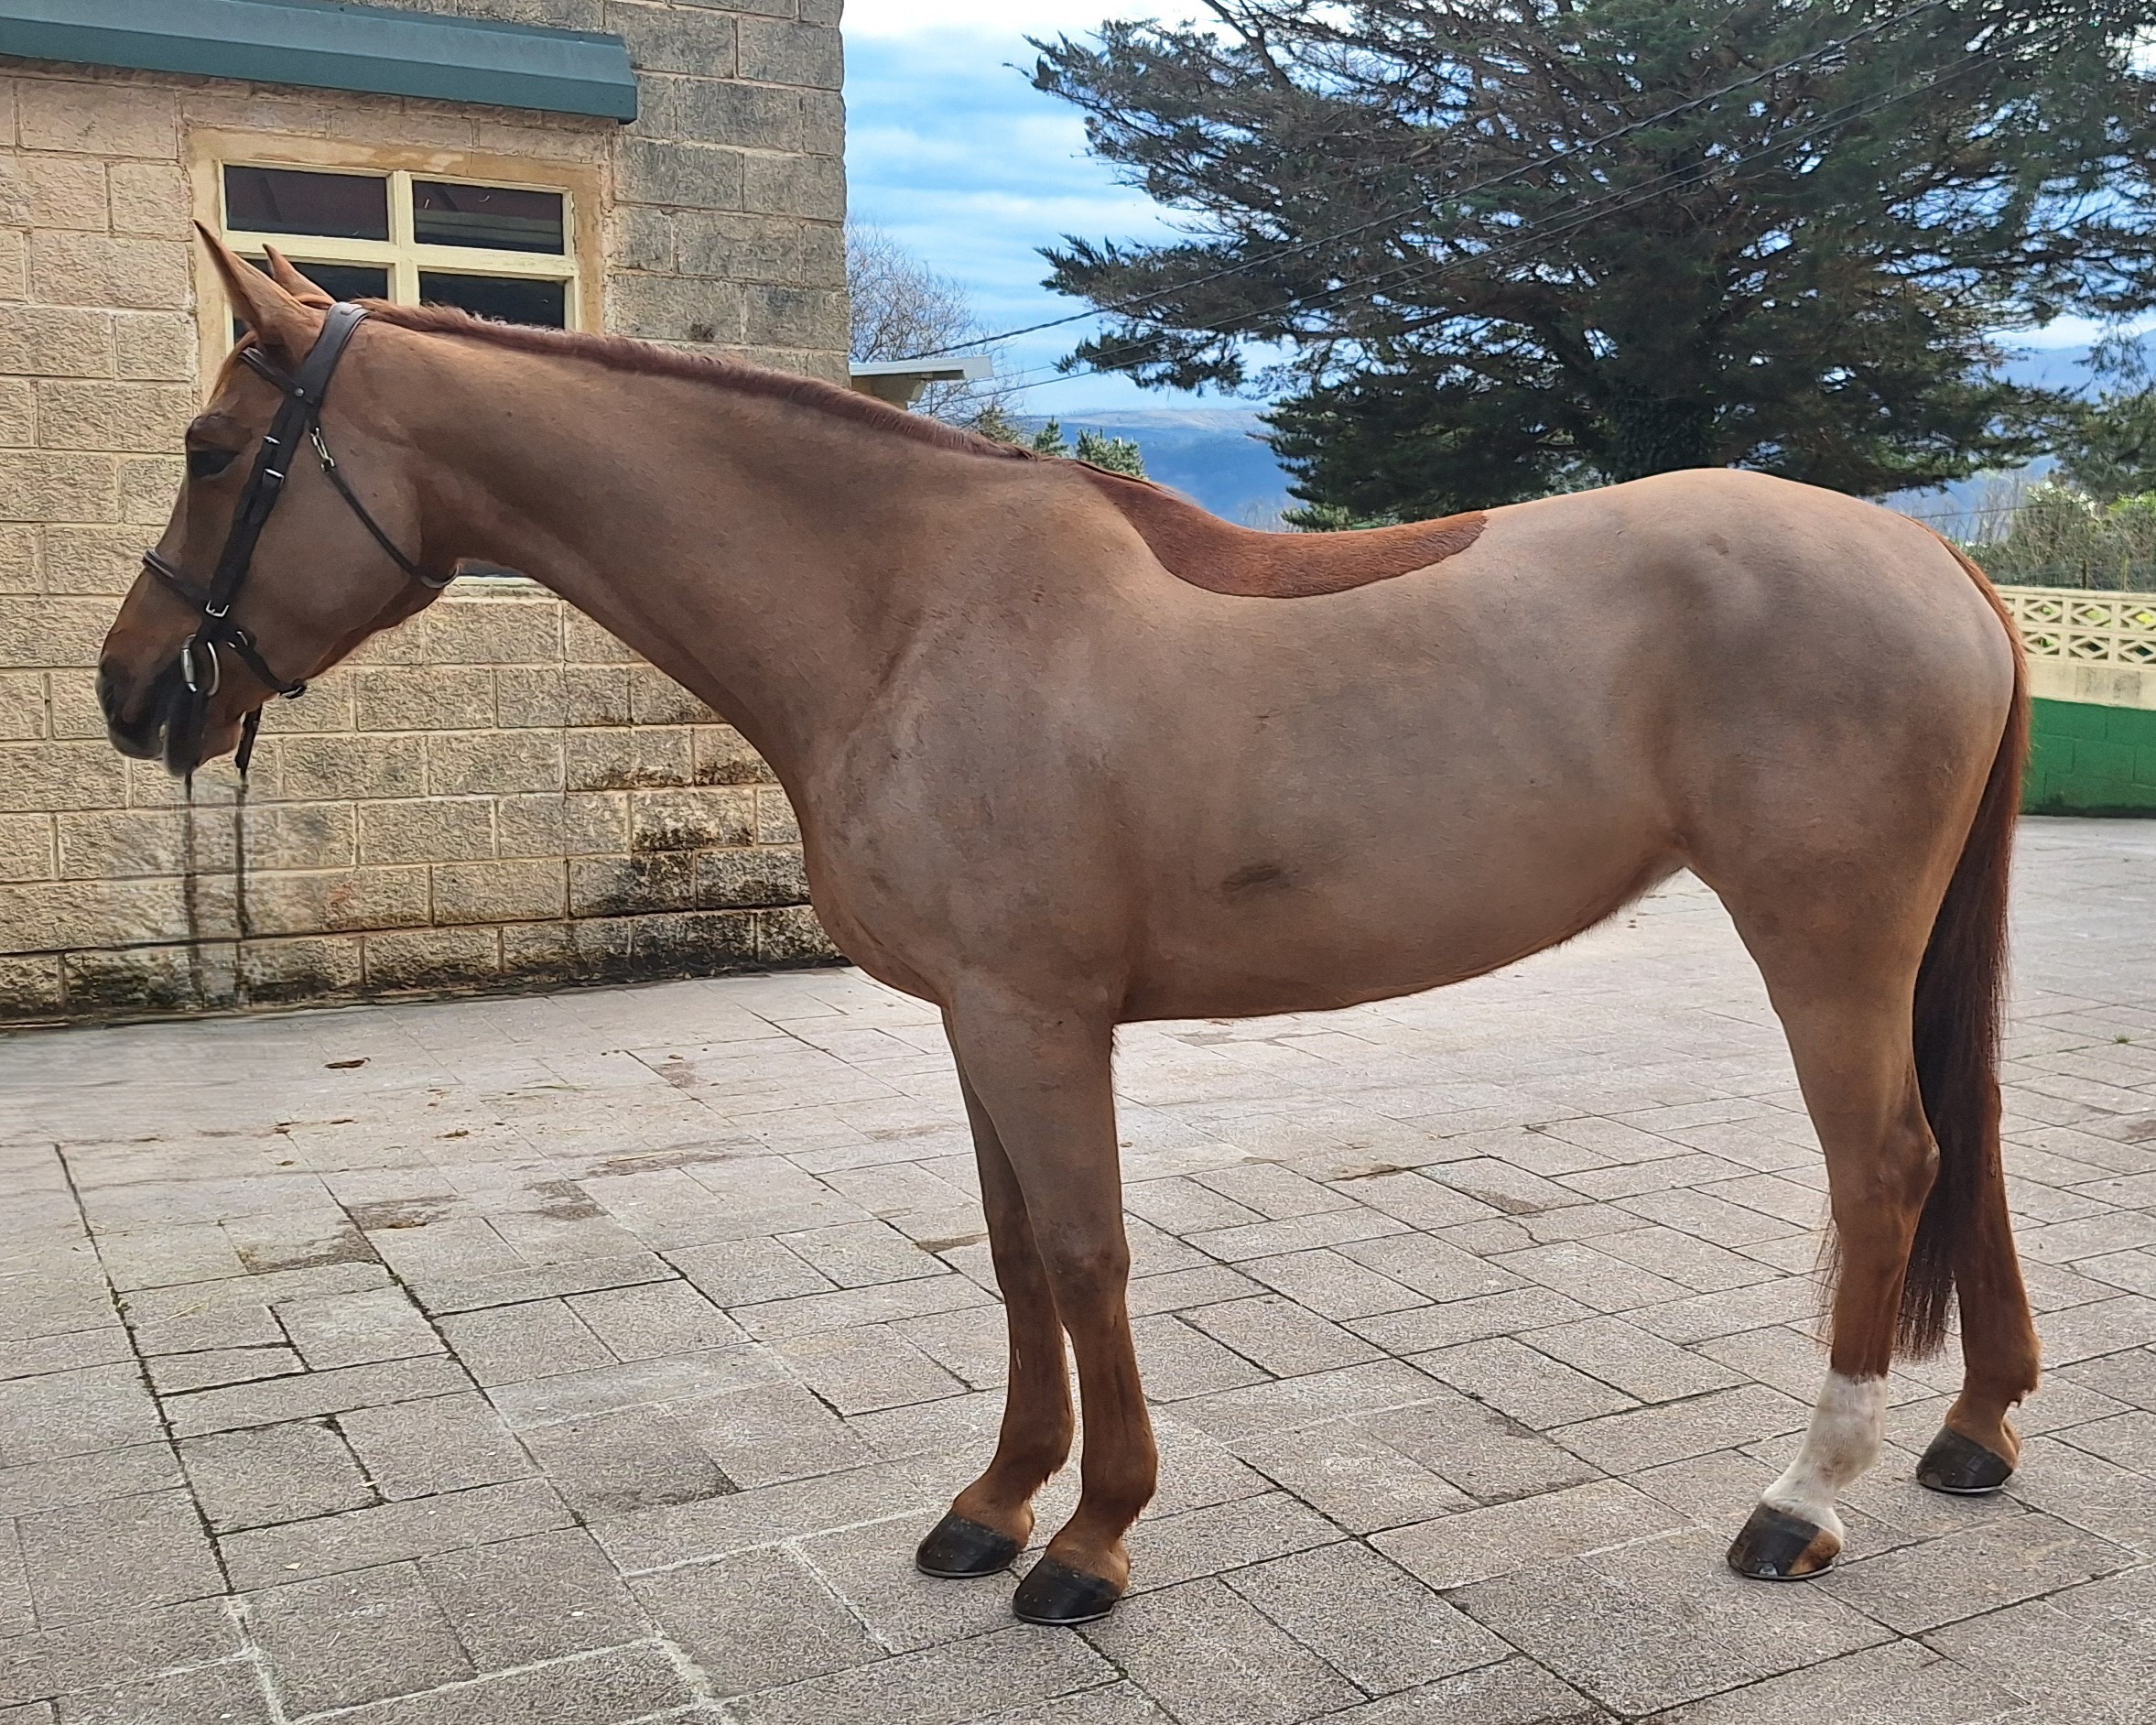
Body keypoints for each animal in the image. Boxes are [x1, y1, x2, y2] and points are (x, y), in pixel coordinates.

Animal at [97, 231, 2038, 1626]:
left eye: (211, 450)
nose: (129, 693)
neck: (906, 606)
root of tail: (1941, 564)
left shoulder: (1036, 1012)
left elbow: (1091, 1250)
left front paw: (1092, 1539)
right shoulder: (973, 1015)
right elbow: (1020, 1254)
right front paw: (989, 1504)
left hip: (1824, 945)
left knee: (1888, 1163)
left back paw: (1800, 1499)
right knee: (1975, 1144)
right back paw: (1974, 1430)